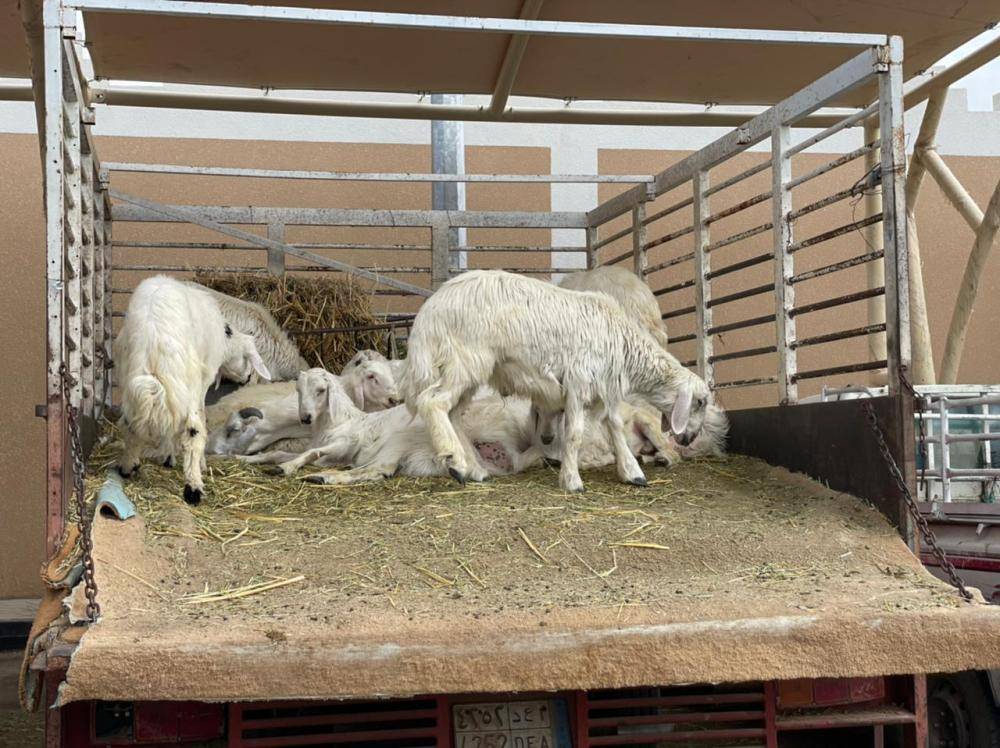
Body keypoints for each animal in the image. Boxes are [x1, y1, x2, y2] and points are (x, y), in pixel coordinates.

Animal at [116, 276, 271, 504]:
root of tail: (157, 335)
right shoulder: (201, 384)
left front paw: (168, 457)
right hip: (188, 385)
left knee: (131, 424)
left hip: (137, 382)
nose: (246, 379)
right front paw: (197, 463)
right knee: (193, 432)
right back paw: (194, 487)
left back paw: (127, 467)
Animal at [400, 270, 711, 492]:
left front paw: (632, 473)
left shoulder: (606, 391)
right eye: (700, 402)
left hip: (468, 370)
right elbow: (574, 434)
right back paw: (454, 460)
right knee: (433, 402)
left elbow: (615, 429)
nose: (689, 438)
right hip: (464, 360)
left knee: (453, 414)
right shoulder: (579, 381)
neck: (625, 346)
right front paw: (572, 481)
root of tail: (430, 311)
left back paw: (475, 470)